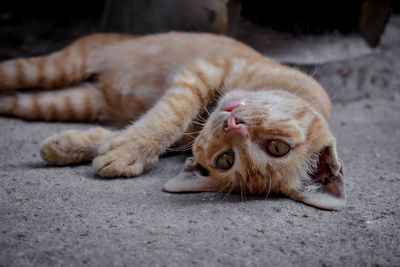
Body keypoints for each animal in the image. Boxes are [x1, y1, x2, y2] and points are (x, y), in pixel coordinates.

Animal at [0, 31, 344, 211]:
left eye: (225, 161)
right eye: (278, 147)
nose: (233, 126)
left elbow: (127, 132)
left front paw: (79, 147)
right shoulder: (200, 72)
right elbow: (167, 117)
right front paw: (126, 151)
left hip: (70, 102)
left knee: (21, 100)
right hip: (59, 65)